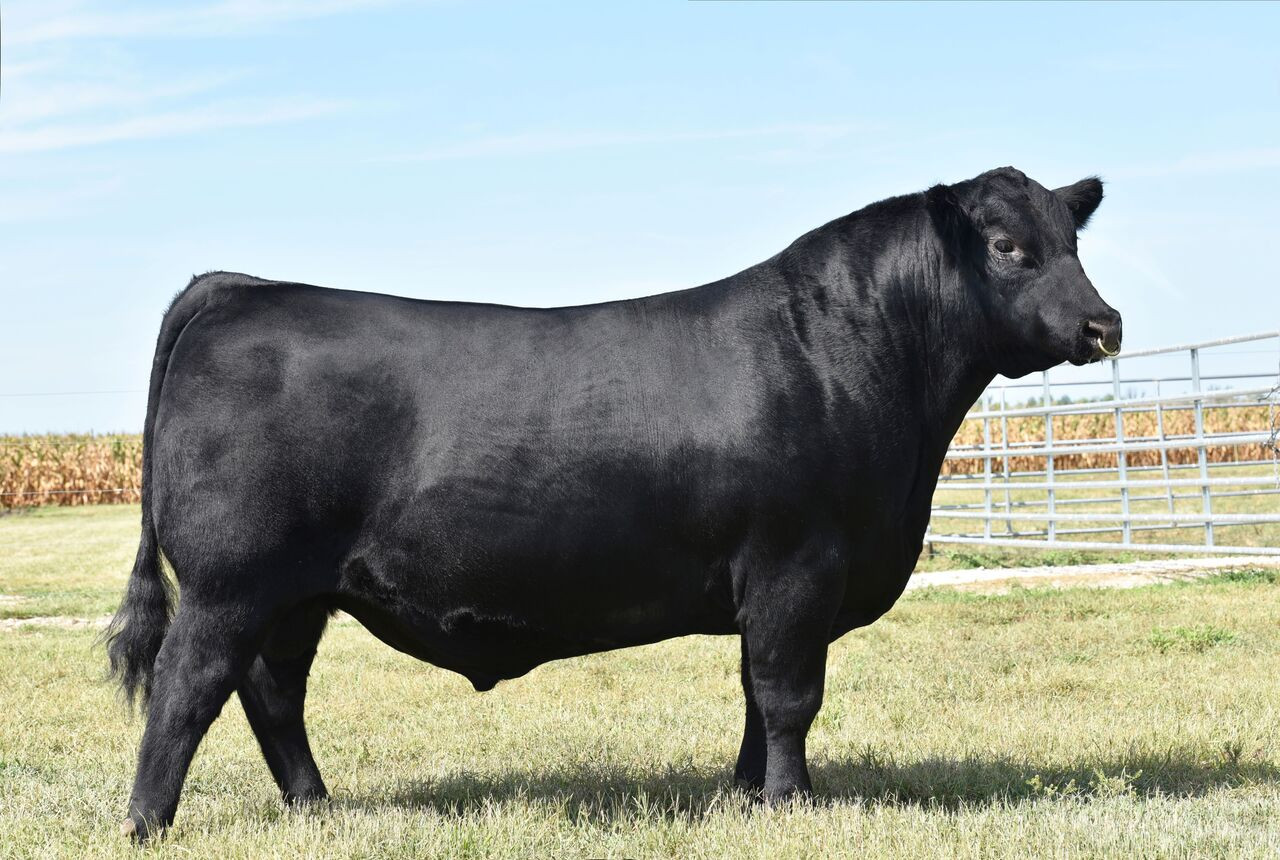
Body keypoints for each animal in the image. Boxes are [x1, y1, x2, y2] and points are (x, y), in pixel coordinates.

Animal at [107, 166, 1120, 839]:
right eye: (1008, 248)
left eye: (1074, 243)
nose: (1103, 324)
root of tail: (241, 286)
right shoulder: (798, 565)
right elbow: (790, 693)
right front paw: (790, 804)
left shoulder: (769, 585)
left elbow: (754, 696)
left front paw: (744, 795)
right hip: (232, 581)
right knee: (188, 688)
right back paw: (148, 823)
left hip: (297, 592)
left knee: (273, 690)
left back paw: (315, 807)